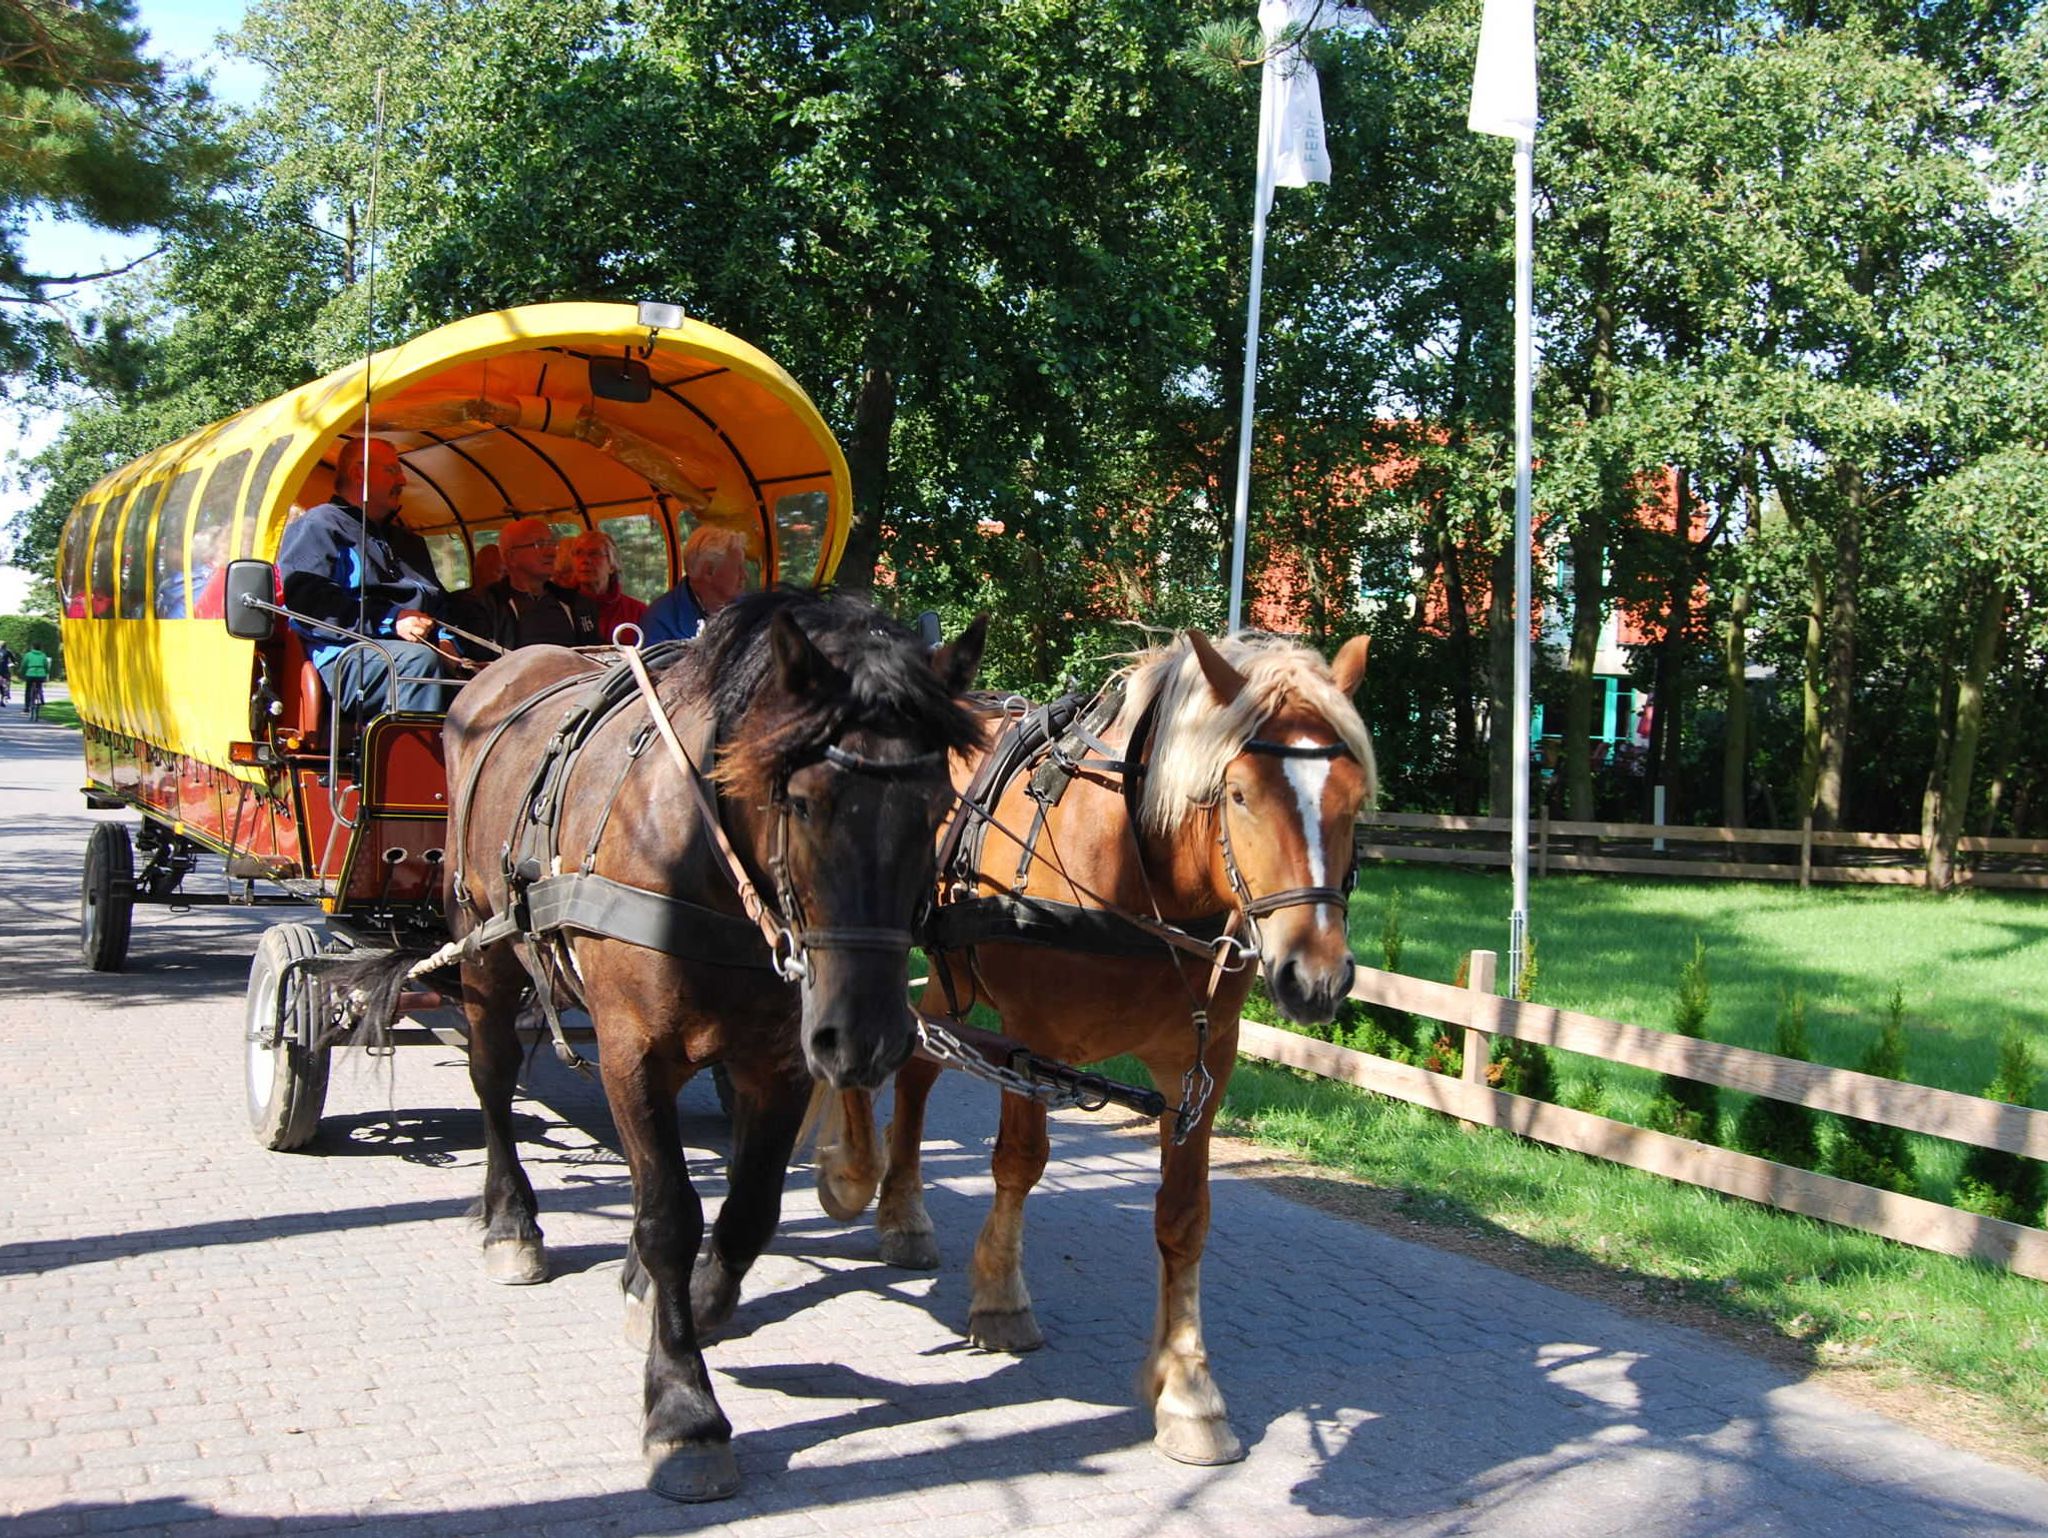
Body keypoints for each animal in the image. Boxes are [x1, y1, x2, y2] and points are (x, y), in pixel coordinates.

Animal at [819, 626, 1376, 1466]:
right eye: (1240, 794)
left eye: (1352, 799)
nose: (1314, 977)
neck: (1135, 884)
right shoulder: (1031, 1036)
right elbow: (1019, 1163)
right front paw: (1002, 1298)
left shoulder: (1204, 1064)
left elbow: (1184, 1215)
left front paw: (1188, 1389)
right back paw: (849, 1165)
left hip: (952, 971)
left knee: (914, 1063)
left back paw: (904, 1211)